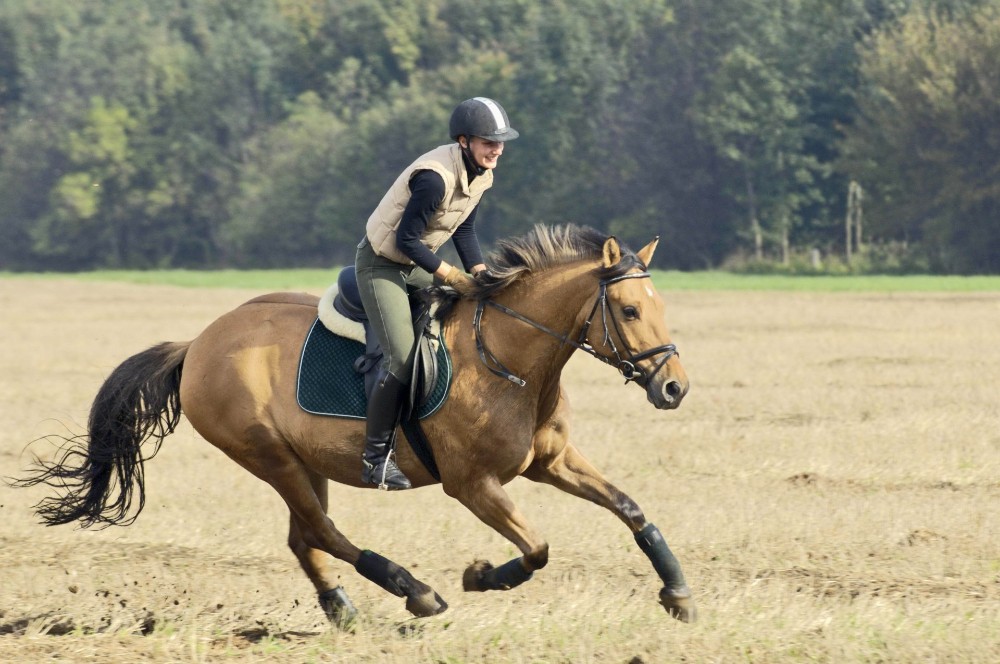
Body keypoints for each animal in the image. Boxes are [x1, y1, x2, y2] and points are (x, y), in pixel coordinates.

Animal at [13, 226, 696, 624]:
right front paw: (479, 578)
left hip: (302, 461)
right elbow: (536, 549)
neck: (511, 358)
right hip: (268, 456)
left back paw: (342, 609)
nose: (674, 387)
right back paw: (413, 590)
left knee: (304, 536)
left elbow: (631, 509)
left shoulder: (552, 463)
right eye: (628, 310)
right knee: (321, 530)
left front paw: (678, 594)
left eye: (660, 305)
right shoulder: (473, 485)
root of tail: (199, 344)